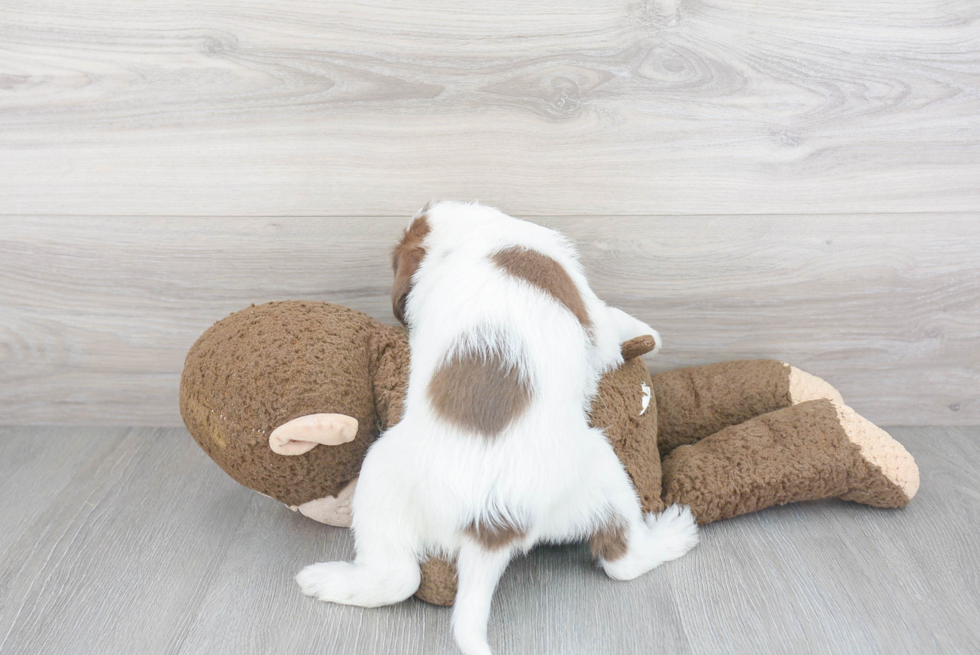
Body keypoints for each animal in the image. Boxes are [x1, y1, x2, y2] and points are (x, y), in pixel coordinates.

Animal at [294, 202, 700, 652]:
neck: (468, 237)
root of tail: (489, 524)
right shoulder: (589, 309)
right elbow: (612, 321)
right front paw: (649, 332)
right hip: (604, 470)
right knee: (622, 558)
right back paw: (674, 534)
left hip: (382, 477)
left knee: (397, 577)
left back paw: (323, 581)